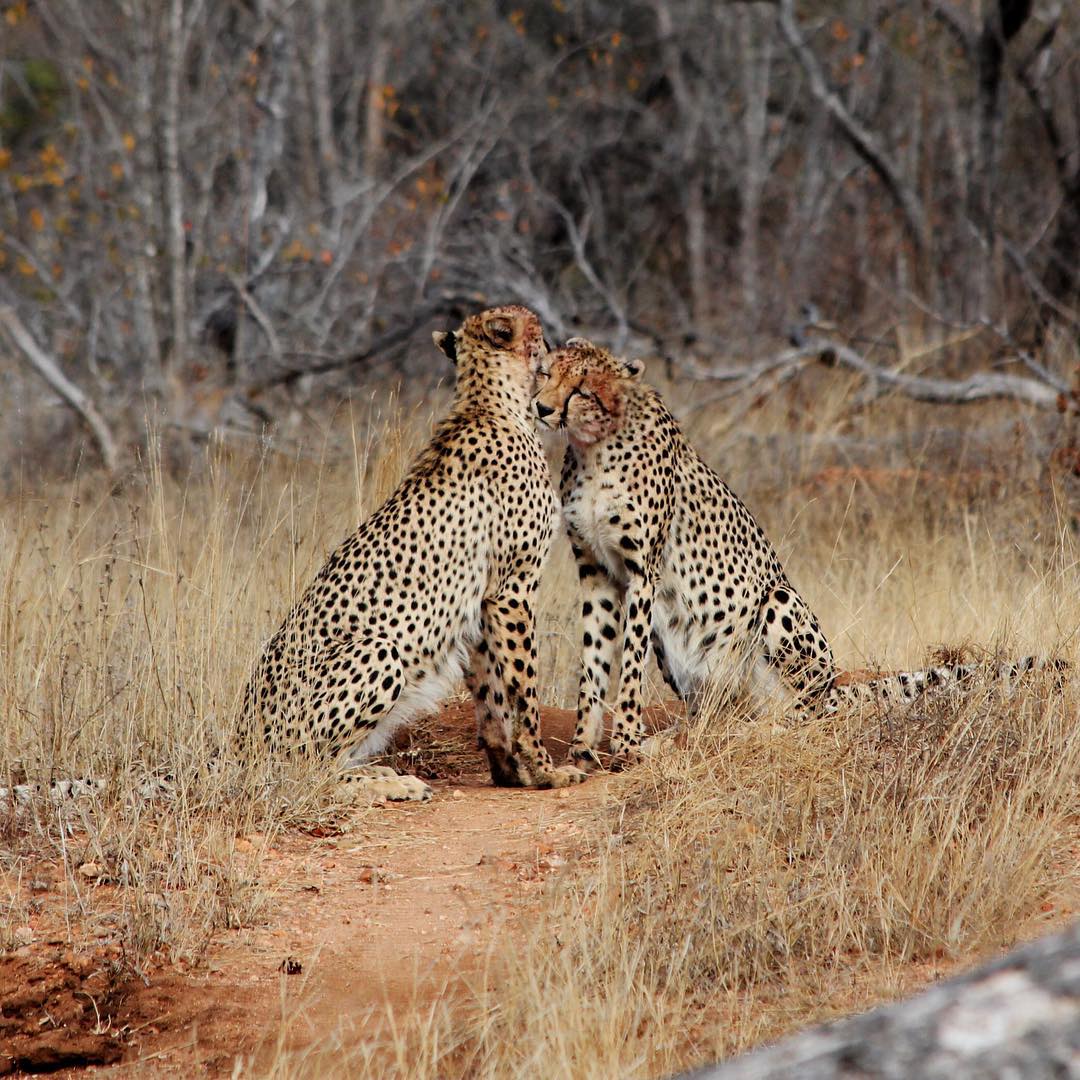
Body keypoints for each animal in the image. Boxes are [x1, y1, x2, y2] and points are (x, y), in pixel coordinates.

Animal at [241, 306, 587, 803]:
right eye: (538, 329)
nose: (557, 343)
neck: (491, 401)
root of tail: (238, 743)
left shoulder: (481, 603)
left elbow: (492, 697)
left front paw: (511, 771)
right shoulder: (512, 590)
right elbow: (524, 690)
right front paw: (546, 772)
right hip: (379, 650)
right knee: (303, 773)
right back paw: (392, 783)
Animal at [531, 339, 1062, 768]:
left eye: (581, 388)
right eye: (545, 373)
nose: (540, 409)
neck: (595, 446)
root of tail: (833, 687)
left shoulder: (644, 571)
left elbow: (628, 666)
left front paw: (625, 743)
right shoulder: (596, 571)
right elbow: (594, 661)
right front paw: (582, 749)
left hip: (778, 603)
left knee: (806, 715)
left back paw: (759, 729)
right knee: (719, 717)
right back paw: (694, 734)